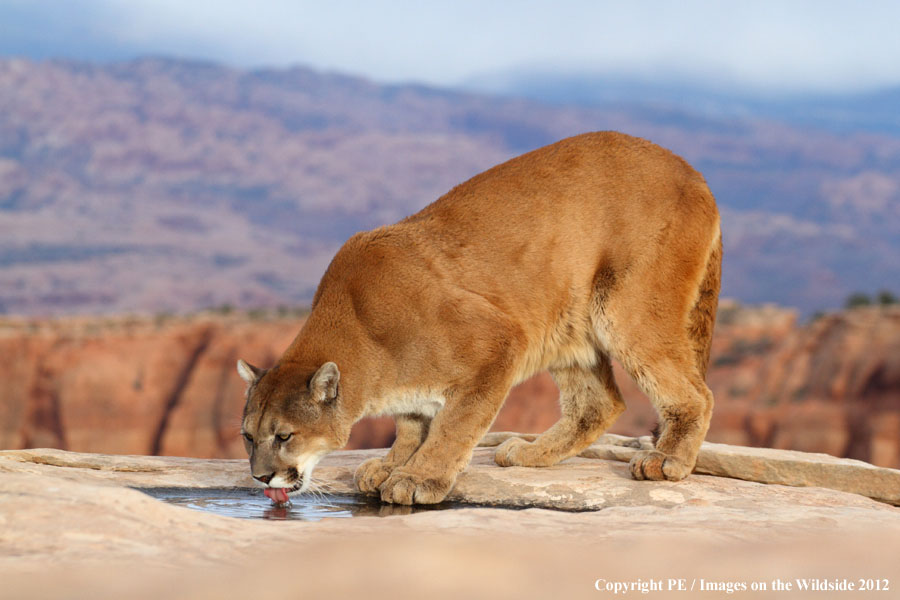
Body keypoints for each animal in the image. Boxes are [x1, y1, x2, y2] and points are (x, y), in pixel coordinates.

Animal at [237, 131, 722, 505]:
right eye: (248, 436)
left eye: (284, 436)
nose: (261, 477)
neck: (360, 328)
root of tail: (693, 172)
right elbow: (412, 425)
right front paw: (393, 464)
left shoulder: (497, 341)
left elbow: (454, 426)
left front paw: (419, 478)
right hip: (567, 321)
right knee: (598, 403)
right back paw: (529, 453)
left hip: (624, 309)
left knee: (695, 392)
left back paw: (667, 460)